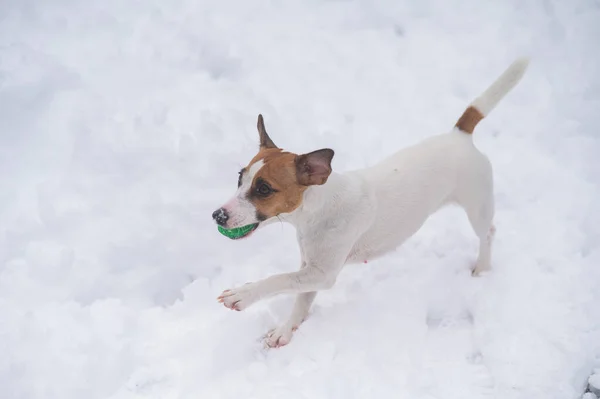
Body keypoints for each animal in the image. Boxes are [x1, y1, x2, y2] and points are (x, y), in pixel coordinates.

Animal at [212, 57, 528, 348]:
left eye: (264, 189)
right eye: (240, 178)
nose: (218, 216)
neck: (318, 210)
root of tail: (459, 135)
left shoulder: (323, 273)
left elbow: (279, 279)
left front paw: (243, 294)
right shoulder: (311, 268)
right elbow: (300, 299)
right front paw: (286, 330)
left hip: (478, 204)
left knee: (488, 232)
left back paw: (482, 268)